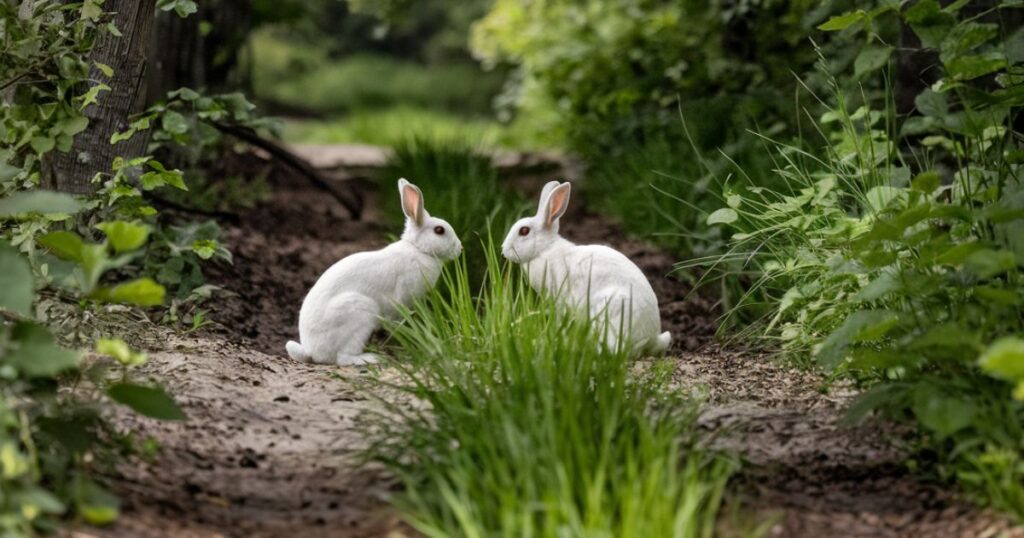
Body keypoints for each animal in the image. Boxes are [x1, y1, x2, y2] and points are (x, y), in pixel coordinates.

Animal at [288, 178, 464, 366]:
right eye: (439, 230)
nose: (460, 248)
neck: (418, 249)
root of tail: (312, 350)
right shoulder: (403, 296)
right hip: (360, 313)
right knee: (343, 358)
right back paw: (372, 358)